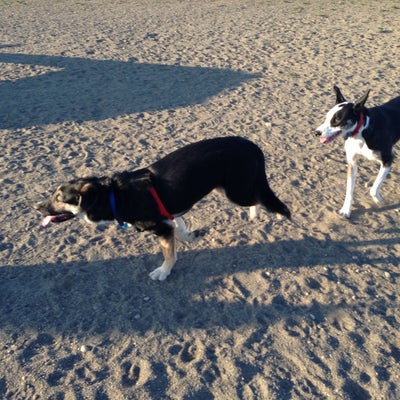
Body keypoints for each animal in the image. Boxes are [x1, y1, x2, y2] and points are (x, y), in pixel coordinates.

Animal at [36, 138, 290, 282]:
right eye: (54, 194)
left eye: (59, 198)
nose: (36, 207)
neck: (115, 196)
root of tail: (252, 146)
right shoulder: (170, 215)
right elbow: (180, 229)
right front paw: (190, 236)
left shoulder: (161, 228)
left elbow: (169, 253)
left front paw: (163, 272)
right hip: (224, 188)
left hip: (236, 192)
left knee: (264, 199)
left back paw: (273, 213)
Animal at [316, 85, 400, 220]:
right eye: (326, 117)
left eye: (337, 119)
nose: (316, 132)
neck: (361, 130)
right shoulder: (352, 163)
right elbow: (349, 190)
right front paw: (346, 210)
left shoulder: (387, 160)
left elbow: (373, 189)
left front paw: (378, 199)